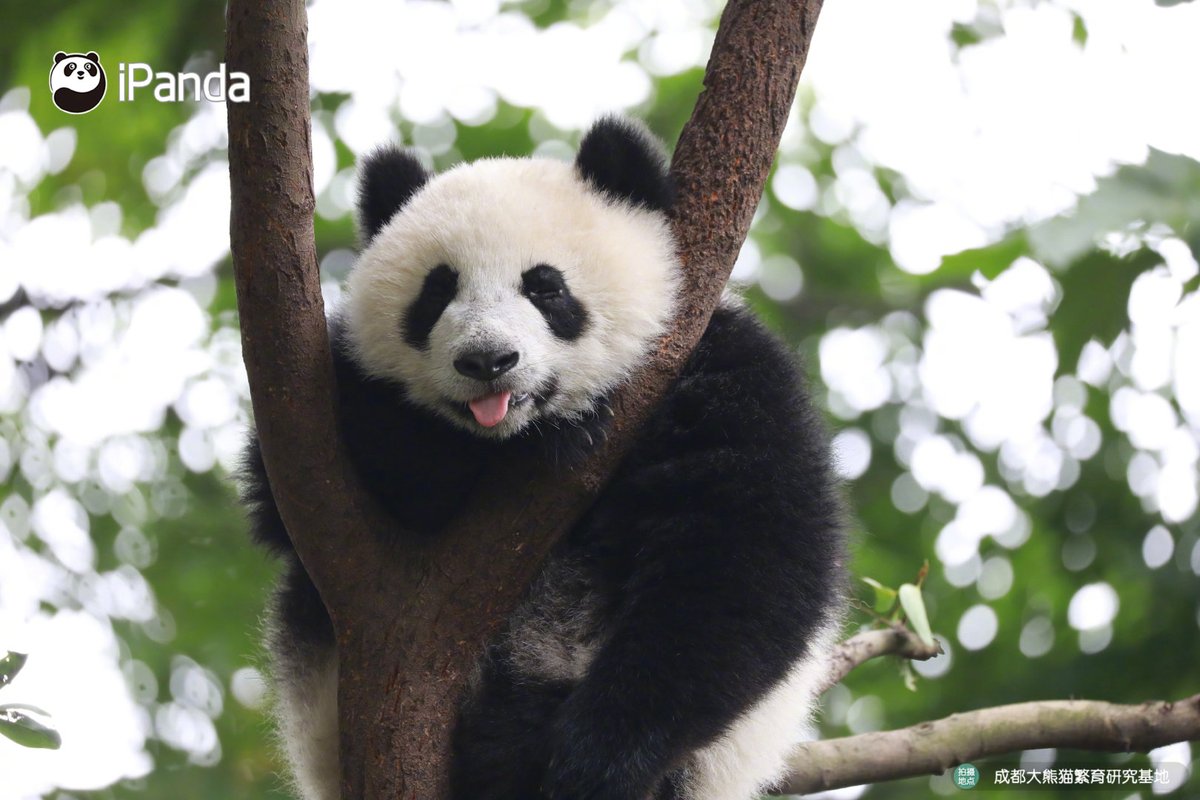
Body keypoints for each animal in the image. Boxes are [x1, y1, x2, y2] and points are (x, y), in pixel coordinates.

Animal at [240, 117, 846, 800]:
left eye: (545, 287)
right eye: (436, 292)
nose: (487, 360)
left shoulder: (720, 370)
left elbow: (746, 555)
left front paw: (597, 758)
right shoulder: (318, 420)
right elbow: (305, 492)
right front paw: (550, 438)